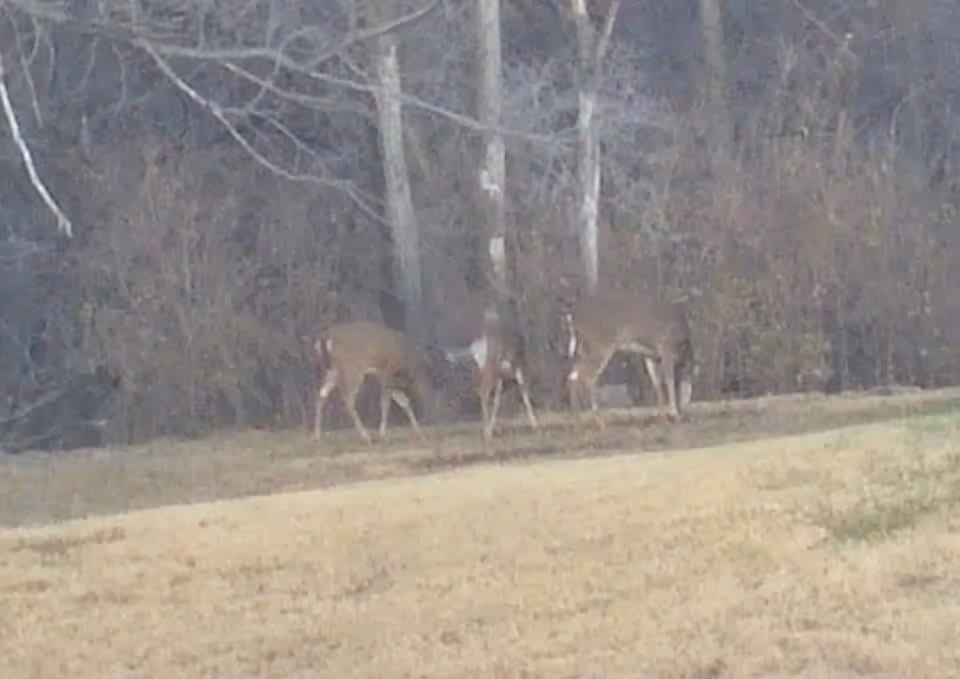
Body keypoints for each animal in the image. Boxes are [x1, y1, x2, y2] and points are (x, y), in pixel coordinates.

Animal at [443, 304, 539, 443]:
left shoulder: (502, 376)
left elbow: (497, 400)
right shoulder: (517, 370)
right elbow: (524, 394)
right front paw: (534, 425)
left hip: (483, 368)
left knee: (481, 391)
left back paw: (488, 429)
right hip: (492, 367)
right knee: (484, 391)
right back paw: (487, 432)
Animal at [564, 289, 694, 430]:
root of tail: (573, 315)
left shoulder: (651, 355)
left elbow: (657, 383)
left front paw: (661, 418)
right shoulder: (666, 348)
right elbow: (669, 381)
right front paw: (674, 414)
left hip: (584, 346)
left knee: (573, 375)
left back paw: (576, 419)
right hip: (600, 343)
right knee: (586, 377)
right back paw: (600, 422)